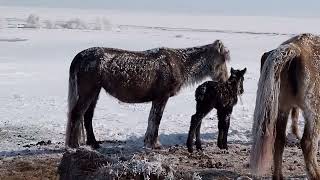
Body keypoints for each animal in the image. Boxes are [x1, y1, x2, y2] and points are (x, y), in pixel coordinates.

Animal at [65, 40, 230, 149]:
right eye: (223, 59)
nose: (225, 80)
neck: (179, 64)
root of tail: (80, 56)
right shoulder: (161, 97)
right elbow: (156, 119)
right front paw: (154, 143)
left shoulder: (157, 99)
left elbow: (152, 119)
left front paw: (148, 142)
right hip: (88, 92)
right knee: (76, 114)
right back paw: (74, 145)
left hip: (95, 92)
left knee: (87, 116)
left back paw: (93, 143)